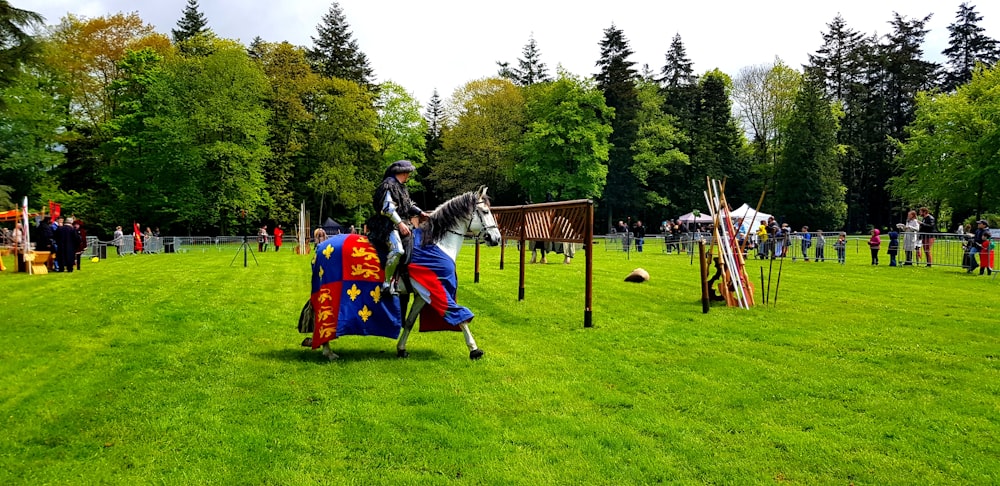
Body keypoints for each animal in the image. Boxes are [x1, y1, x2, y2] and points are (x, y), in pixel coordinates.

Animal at [302, 186, 504, 360]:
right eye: (485, 212)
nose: (496, 239)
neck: (436, 244)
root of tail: (322, 246)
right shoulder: (437, 289)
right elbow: (459, 316)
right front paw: (474, 349)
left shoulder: (423, 294)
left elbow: (409, 322)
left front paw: (401, 349)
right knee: (323, 319)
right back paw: (328, 351)